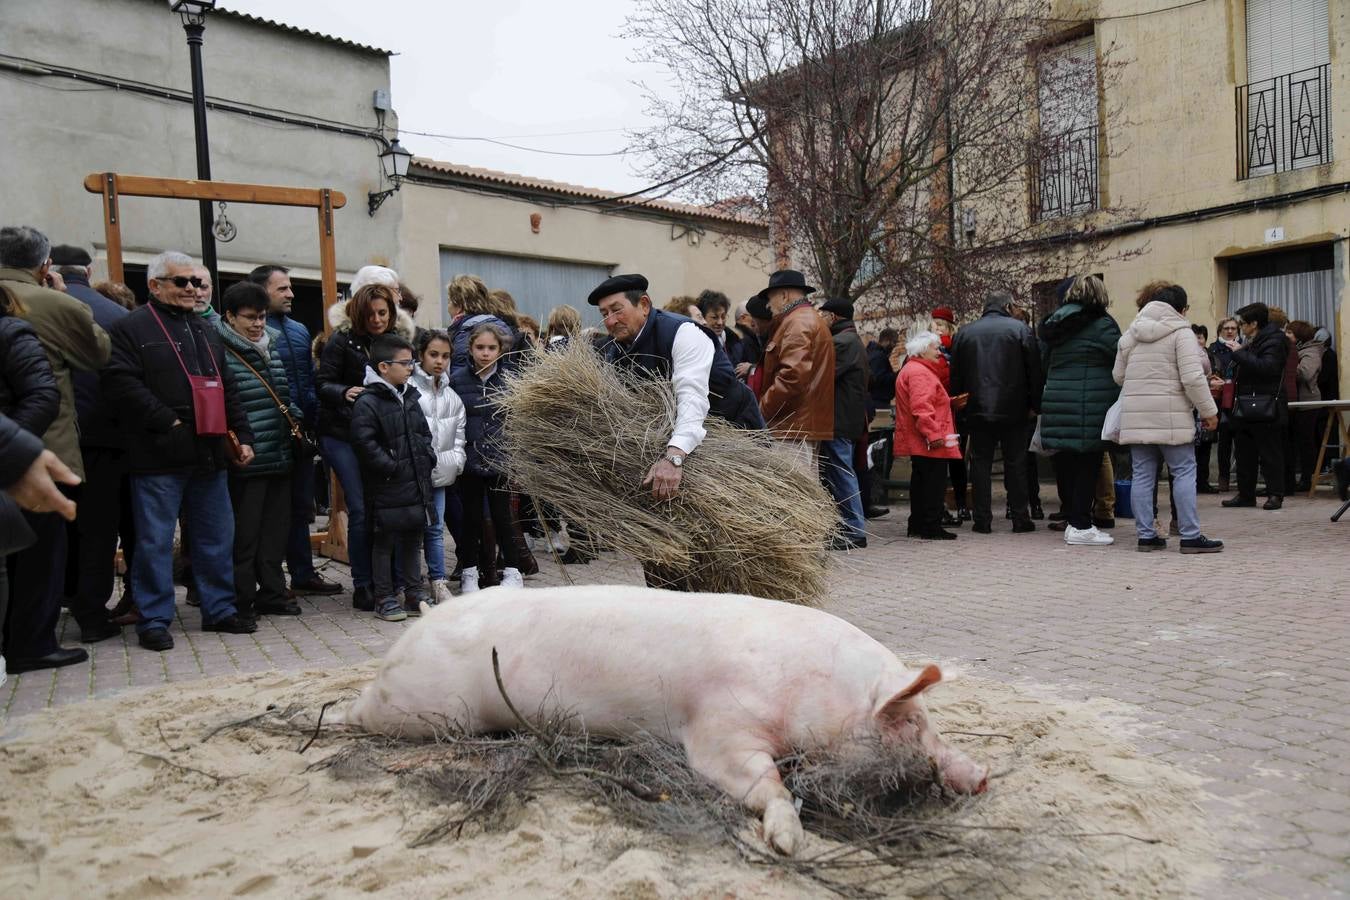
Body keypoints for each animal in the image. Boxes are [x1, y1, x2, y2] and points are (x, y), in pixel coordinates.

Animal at [334, 588, 993, 858]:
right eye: (910, 723)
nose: (983, 776)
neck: (817, 690)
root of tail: (422, 619)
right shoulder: (719, 729)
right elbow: (763, 783)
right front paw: (789, 842)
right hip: (423, 707)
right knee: (360, 712)